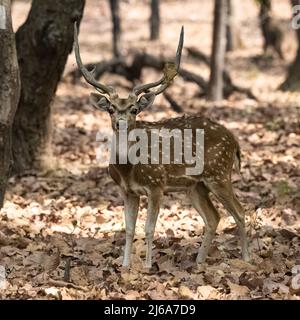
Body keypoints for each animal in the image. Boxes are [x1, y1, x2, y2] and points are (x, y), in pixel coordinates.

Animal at [74, 21, 250, 268]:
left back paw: (246, 258)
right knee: (214, 217)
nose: (120, 122)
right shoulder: (127, 191)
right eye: (110, 109)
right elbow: (129, 229)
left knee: (240, 211)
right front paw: (125, 265)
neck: (129, 169)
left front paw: (148, 265)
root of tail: (234, 141)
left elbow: (149, 229)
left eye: (134, 110)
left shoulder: (157, 185)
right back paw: (198, 261)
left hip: (219, 174)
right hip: (196, 186)